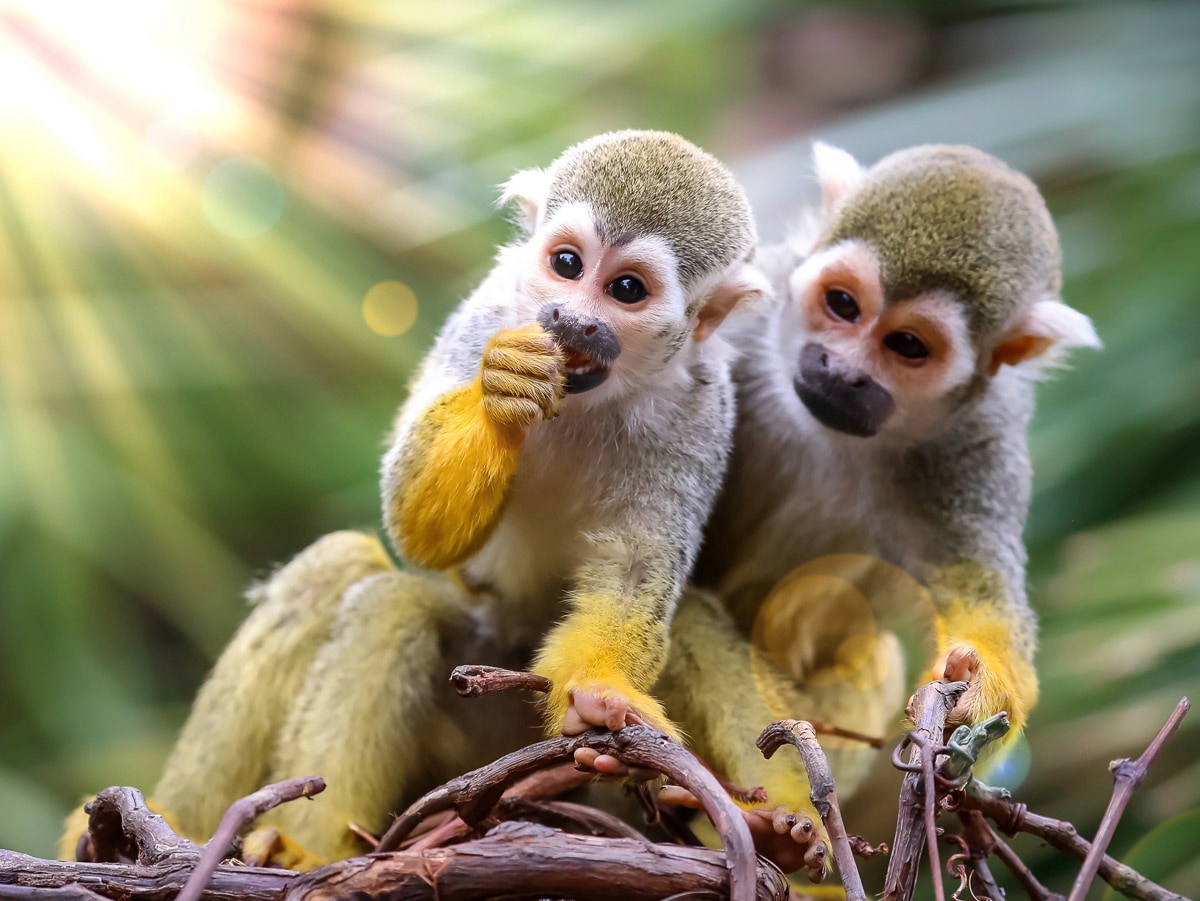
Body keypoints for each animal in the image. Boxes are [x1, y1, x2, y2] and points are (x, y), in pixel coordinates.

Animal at [59, 130, 769, 869]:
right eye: (567, 264)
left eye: (626, 289)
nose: (572, 320)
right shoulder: (485, 316)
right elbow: (412, 525)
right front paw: (504, 389)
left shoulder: (703, 405)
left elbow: (636, 565)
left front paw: (600, 693)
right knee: (365, 588)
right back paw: (240, 839)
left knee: (689, 619)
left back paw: (784, 832)